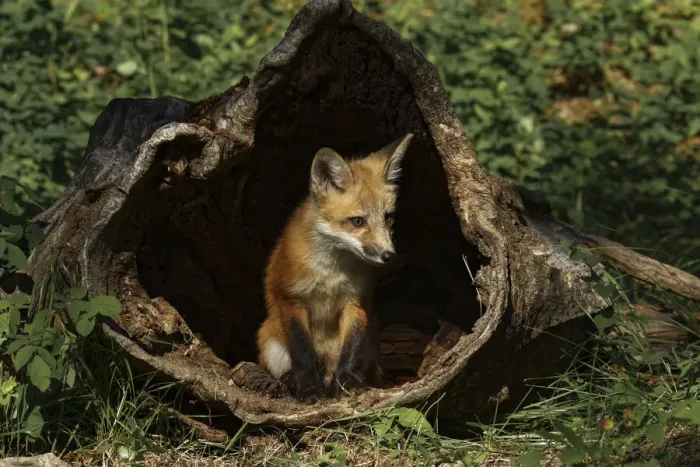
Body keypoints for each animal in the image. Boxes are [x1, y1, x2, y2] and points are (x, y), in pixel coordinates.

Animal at [256, 133, 414, 401]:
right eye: (357, 221)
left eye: (388, 217)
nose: (388, 255)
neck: (331, 272)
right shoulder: (291, 298)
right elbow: (304, 353)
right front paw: (309, 388)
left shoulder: (355, 302)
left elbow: (351, 350)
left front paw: (347, 382)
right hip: (269, 339)